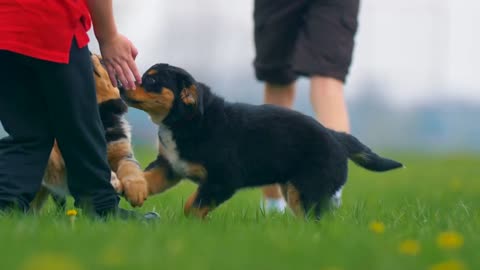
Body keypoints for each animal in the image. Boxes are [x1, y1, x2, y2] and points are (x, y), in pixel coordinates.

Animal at [119, 63, 402, 219]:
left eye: (152, 79)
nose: (121, 86)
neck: (184, 121)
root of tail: (335, 136)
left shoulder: (223, 179)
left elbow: (193, 205)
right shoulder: (170, 166)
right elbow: (147, 178)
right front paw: (131, 188)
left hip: (307, 190)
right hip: (294, 189)